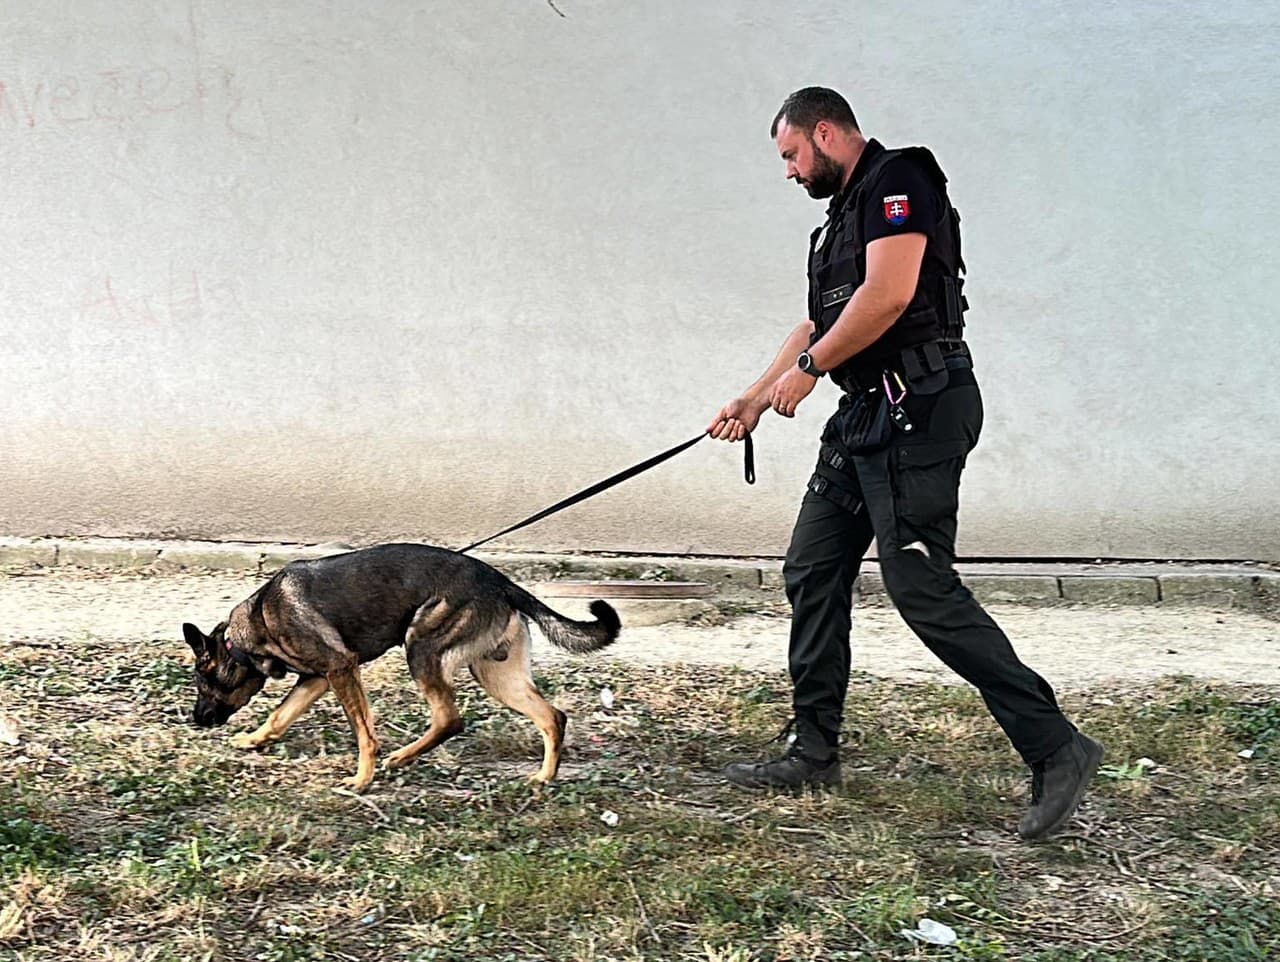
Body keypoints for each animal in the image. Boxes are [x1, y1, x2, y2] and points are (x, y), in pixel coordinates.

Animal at [181, 544, 619, 793]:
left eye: (202, 679)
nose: (196, 720)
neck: (253, 627)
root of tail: (501, 582)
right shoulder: (318, 679)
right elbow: (279, 715)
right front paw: (253, 739)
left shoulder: (341, 669)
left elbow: (363, 733)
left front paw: (361, 780)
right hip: (496, 675)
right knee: (552, 717)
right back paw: (544, 777)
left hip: (421, 649)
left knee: (449, 718)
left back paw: (400, 758)